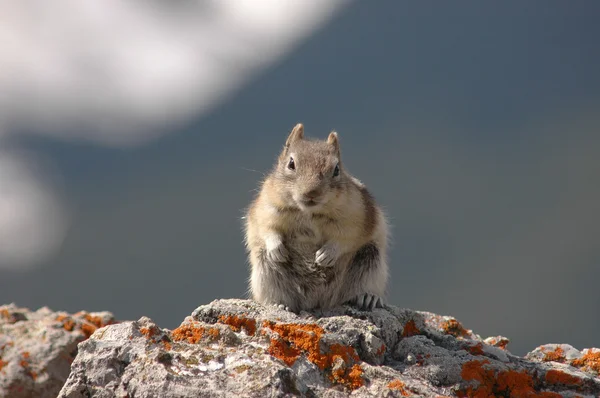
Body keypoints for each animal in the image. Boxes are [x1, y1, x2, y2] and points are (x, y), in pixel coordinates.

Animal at [244, 123, 390, 312]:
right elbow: (267, 229)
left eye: (336, 169)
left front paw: (327, 254)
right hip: (265, 271)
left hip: (370, 261)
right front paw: (276, 248)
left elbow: (348, 238)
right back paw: (278, 304)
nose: (311, 192)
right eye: (291, 163)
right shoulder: (266, 208)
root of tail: (314, 303)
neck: (309, 213)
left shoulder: (358, 216)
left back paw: (367, 298)